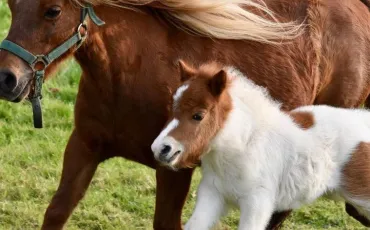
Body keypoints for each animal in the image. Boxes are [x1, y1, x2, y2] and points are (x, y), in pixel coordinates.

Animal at [152, 61, 370, 230]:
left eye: (198, 115)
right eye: (172, 108)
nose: (160, 149)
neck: (243, 147)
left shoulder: (257, 203)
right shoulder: (212, 195)